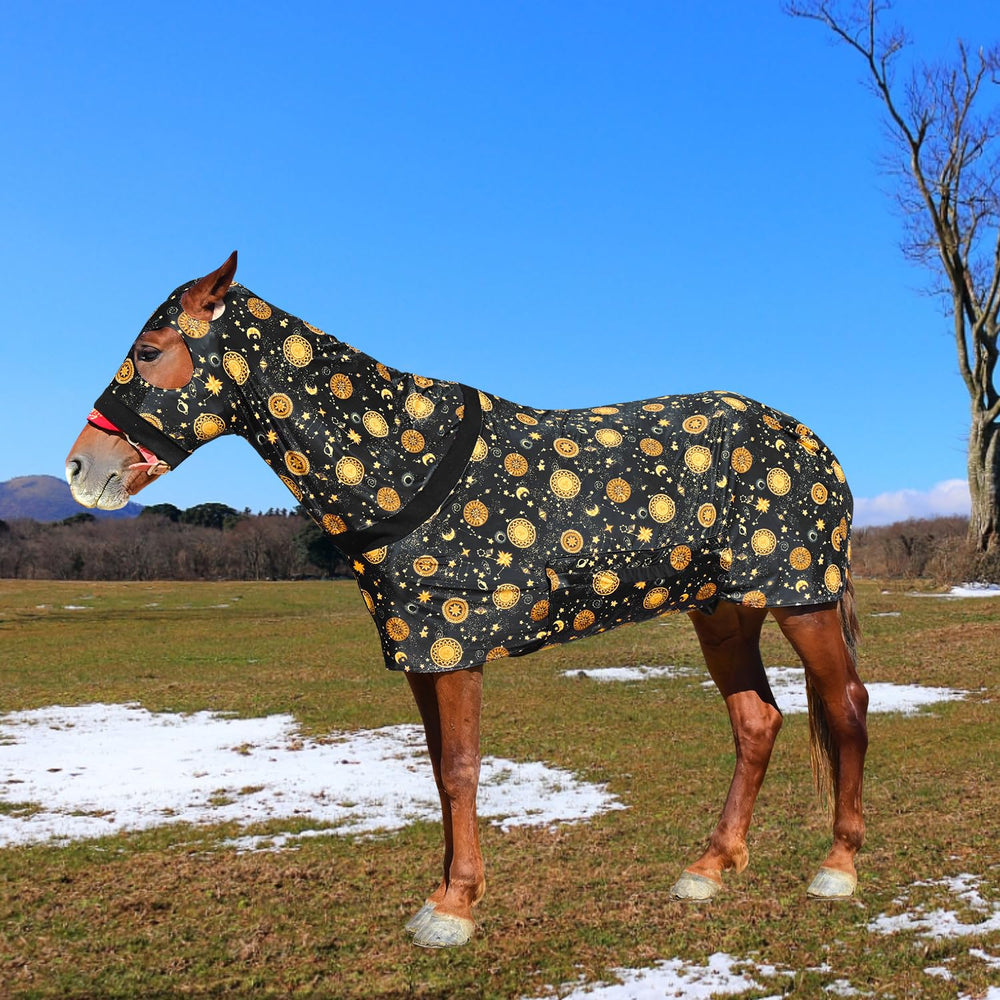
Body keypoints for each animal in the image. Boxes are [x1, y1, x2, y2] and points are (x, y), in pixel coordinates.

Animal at [66, 252, 868, 948]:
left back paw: (838, 867)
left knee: (847, 705)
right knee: (756, 721)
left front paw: (455, 908)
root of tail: (815, 445)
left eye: (148, 350)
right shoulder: (420, 653)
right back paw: (709, 867)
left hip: (802, 600)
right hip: (724, 610)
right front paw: (444, 893)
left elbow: (460, 769)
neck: (401, 461)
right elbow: (436, 772)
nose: (81, 467)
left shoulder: (454, 645)